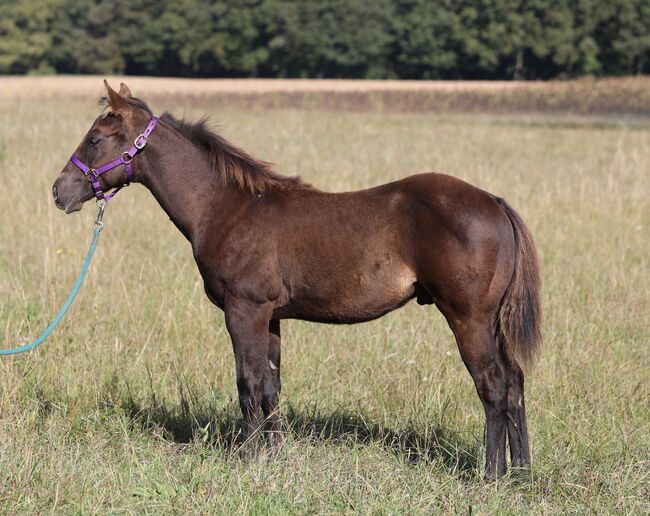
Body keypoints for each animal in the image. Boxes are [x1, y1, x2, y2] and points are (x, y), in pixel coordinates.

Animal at [50, 81, 540, 480]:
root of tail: (494, 203)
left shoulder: (244, 310)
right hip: (490, 321)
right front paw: (275, 458)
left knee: (494, 386)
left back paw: (492, 475)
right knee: (515, 382)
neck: (226, 207)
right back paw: (522, 473)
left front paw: (247, 460)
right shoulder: (271, 316)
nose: (59, 191)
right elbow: (271, 387)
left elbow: (247, 384)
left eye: (95, 138)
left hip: (468, 319)